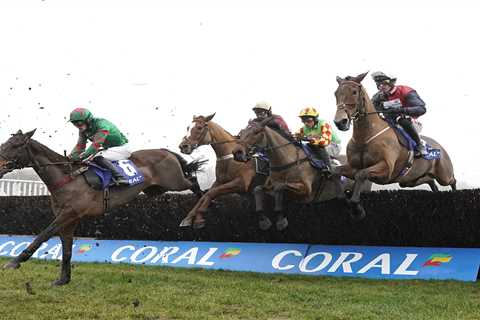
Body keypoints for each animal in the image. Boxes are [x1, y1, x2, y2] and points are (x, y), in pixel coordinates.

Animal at [0, 129, 204, 284]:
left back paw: (199, 211)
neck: (68, 178)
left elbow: (42, 236)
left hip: (175, 182)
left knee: (194, 182)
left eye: (15, 145)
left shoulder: (68, 214)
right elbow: (67, 249)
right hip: (156, 189)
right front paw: (63, 280)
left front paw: (14, 262)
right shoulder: (69, 219)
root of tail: (165, 151)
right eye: (5, 143)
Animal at [332, 72, 456, 216]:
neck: (364, 138)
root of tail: (440, 147)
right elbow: (335, 171)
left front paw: (357, 206)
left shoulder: (386, 168)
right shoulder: (353, 166)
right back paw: (435, 192)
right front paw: (344, 198)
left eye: (354, 92)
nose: (340, 122)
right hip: (408, 181)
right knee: (429, 180)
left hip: (444, 175)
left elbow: (361, 174)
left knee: (452, 180)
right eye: (336, 93)